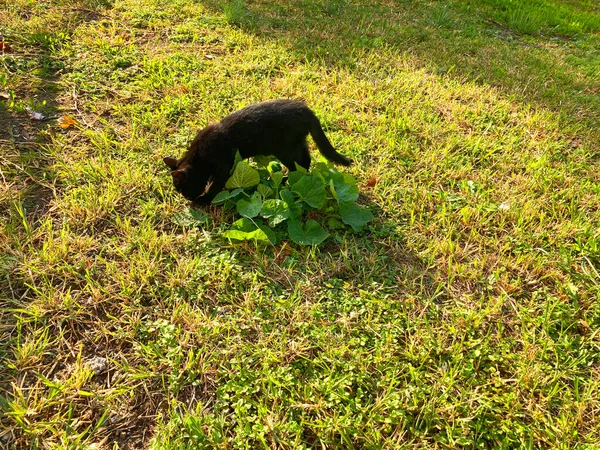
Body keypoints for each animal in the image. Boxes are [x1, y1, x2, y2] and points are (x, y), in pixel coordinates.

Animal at [163, 99, 352, 205]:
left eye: (182, 188)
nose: (187, 199)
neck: (200, 156)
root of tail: (308, 111)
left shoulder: (224, 167)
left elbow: (216, 185)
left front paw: (205, 199)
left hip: (285, 149)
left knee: (300, 165)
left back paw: (285, 181)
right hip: (297, 144)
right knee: (306, 162)